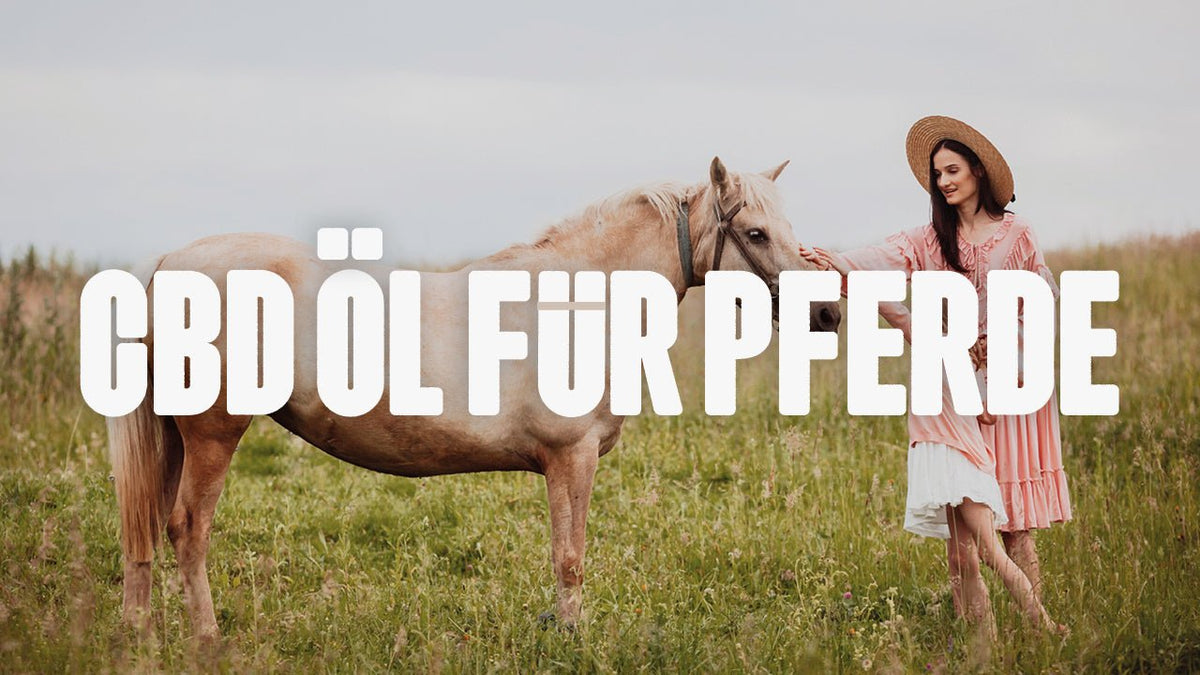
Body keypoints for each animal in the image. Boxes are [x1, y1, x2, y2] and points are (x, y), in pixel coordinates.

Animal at [108, 157, 842, 641]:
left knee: (144, 524)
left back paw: (141, 636)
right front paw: (572, 640)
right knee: (187, 528)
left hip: (176, 437)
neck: (581, 298)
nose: (827, 312)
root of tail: (170, 262)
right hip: (212, 434)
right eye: (755, 233)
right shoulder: (571, 458)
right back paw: (207, 641)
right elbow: (570, 557)